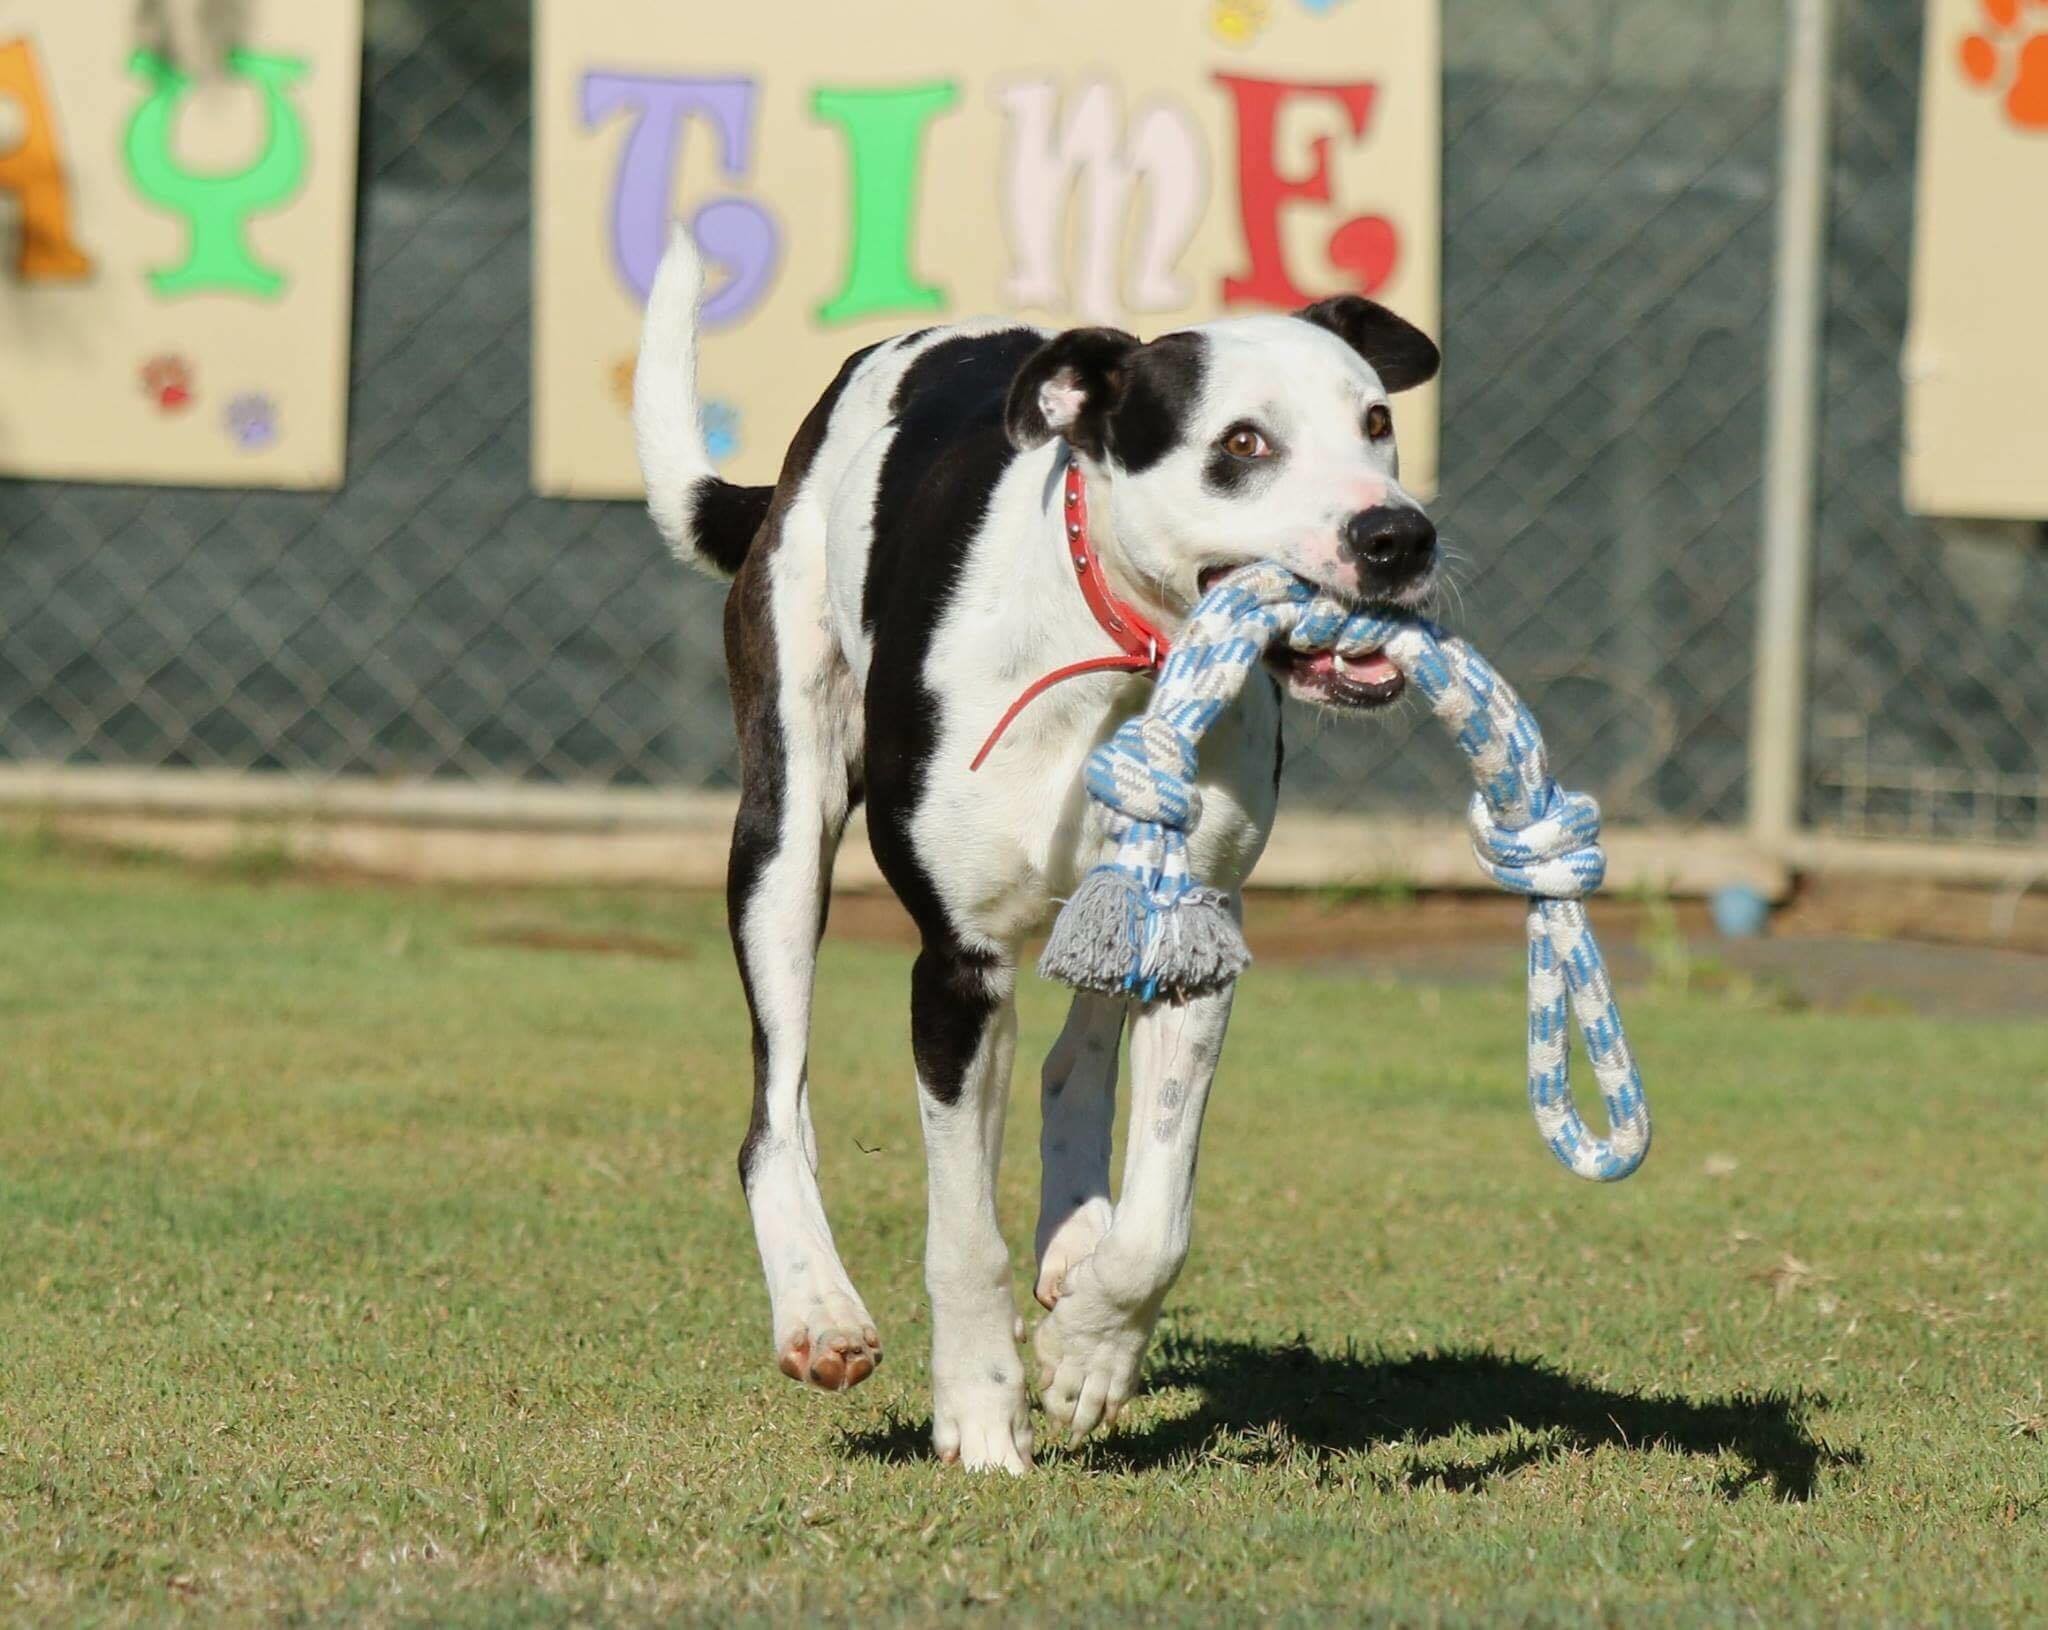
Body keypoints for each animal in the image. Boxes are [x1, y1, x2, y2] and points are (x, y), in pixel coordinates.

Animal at [634, 226, 1440, 1472]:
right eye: (1241, 443)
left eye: (1373, 421)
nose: (1395, 534)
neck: (1117, 653)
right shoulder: (956, 970)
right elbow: (962, 1231)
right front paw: (978, 1413)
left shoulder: (1196, 938)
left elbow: (1159, 1217)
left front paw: (1091, 1350)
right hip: (779, 833)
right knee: (774, 1110)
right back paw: (817, 1308)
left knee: (1075, 1064)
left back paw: (1072, 1236)